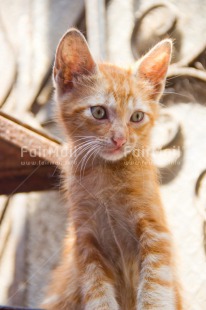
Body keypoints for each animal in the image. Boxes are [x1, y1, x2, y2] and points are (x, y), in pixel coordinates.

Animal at [41, 27, 183, 308]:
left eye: (136, 117)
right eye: (98, 112)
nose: (120, 139)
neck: (106, 175)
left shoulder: (156, 232)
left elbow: (155, 288)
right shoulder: (85, 242)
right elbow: (97, 294)